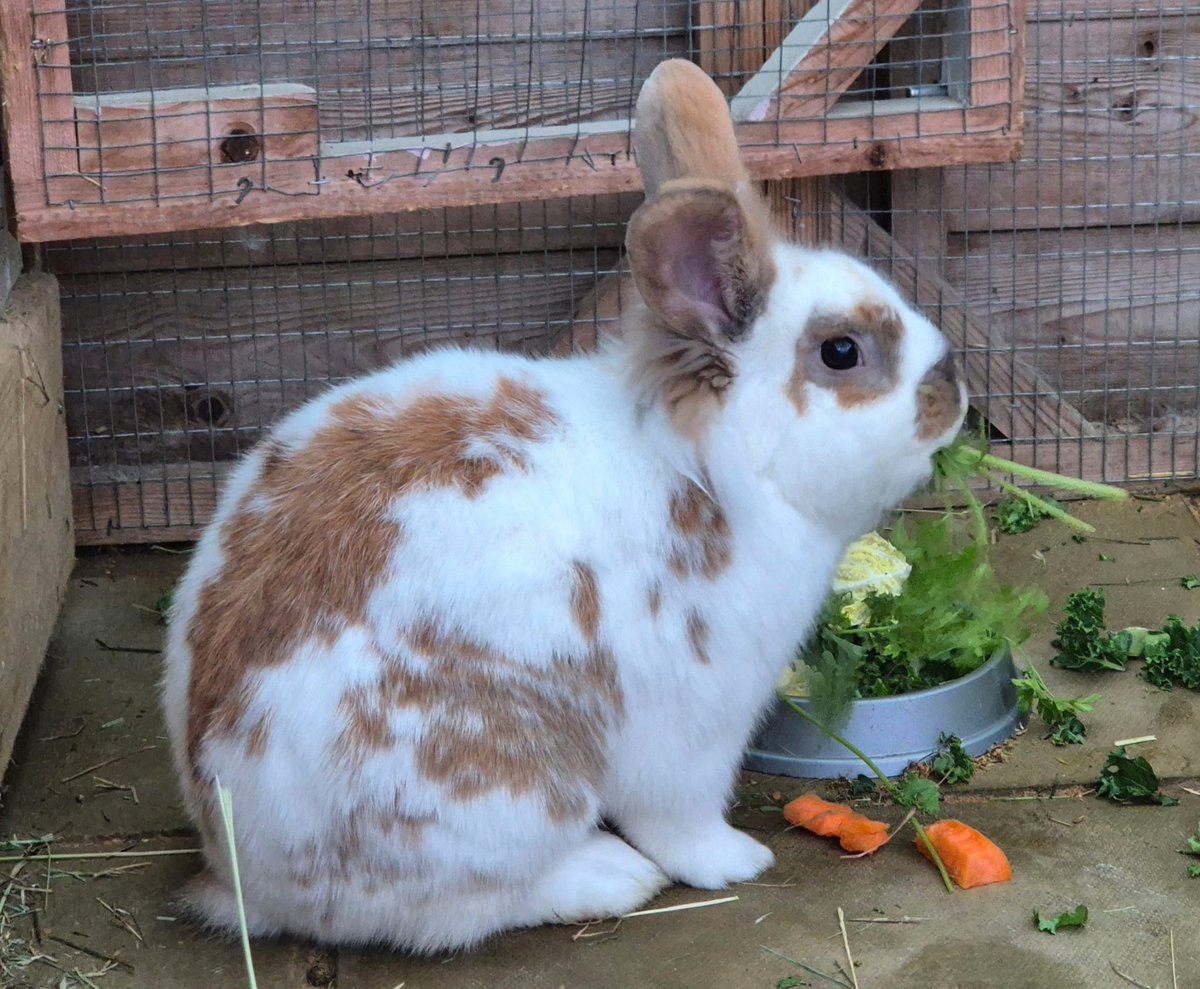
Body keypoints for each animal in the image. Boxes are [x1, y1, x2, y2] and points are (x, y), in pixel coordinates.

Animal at [161, 58, 967, 953]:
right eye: (841, 352)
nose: (953, 389)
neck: (704, 466)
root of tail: (241, 874)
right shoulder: (694, 727)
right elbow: (681, 820)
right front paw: (737, 860)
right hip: (500, 788)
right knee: (458, 907)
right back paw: (607, 874)